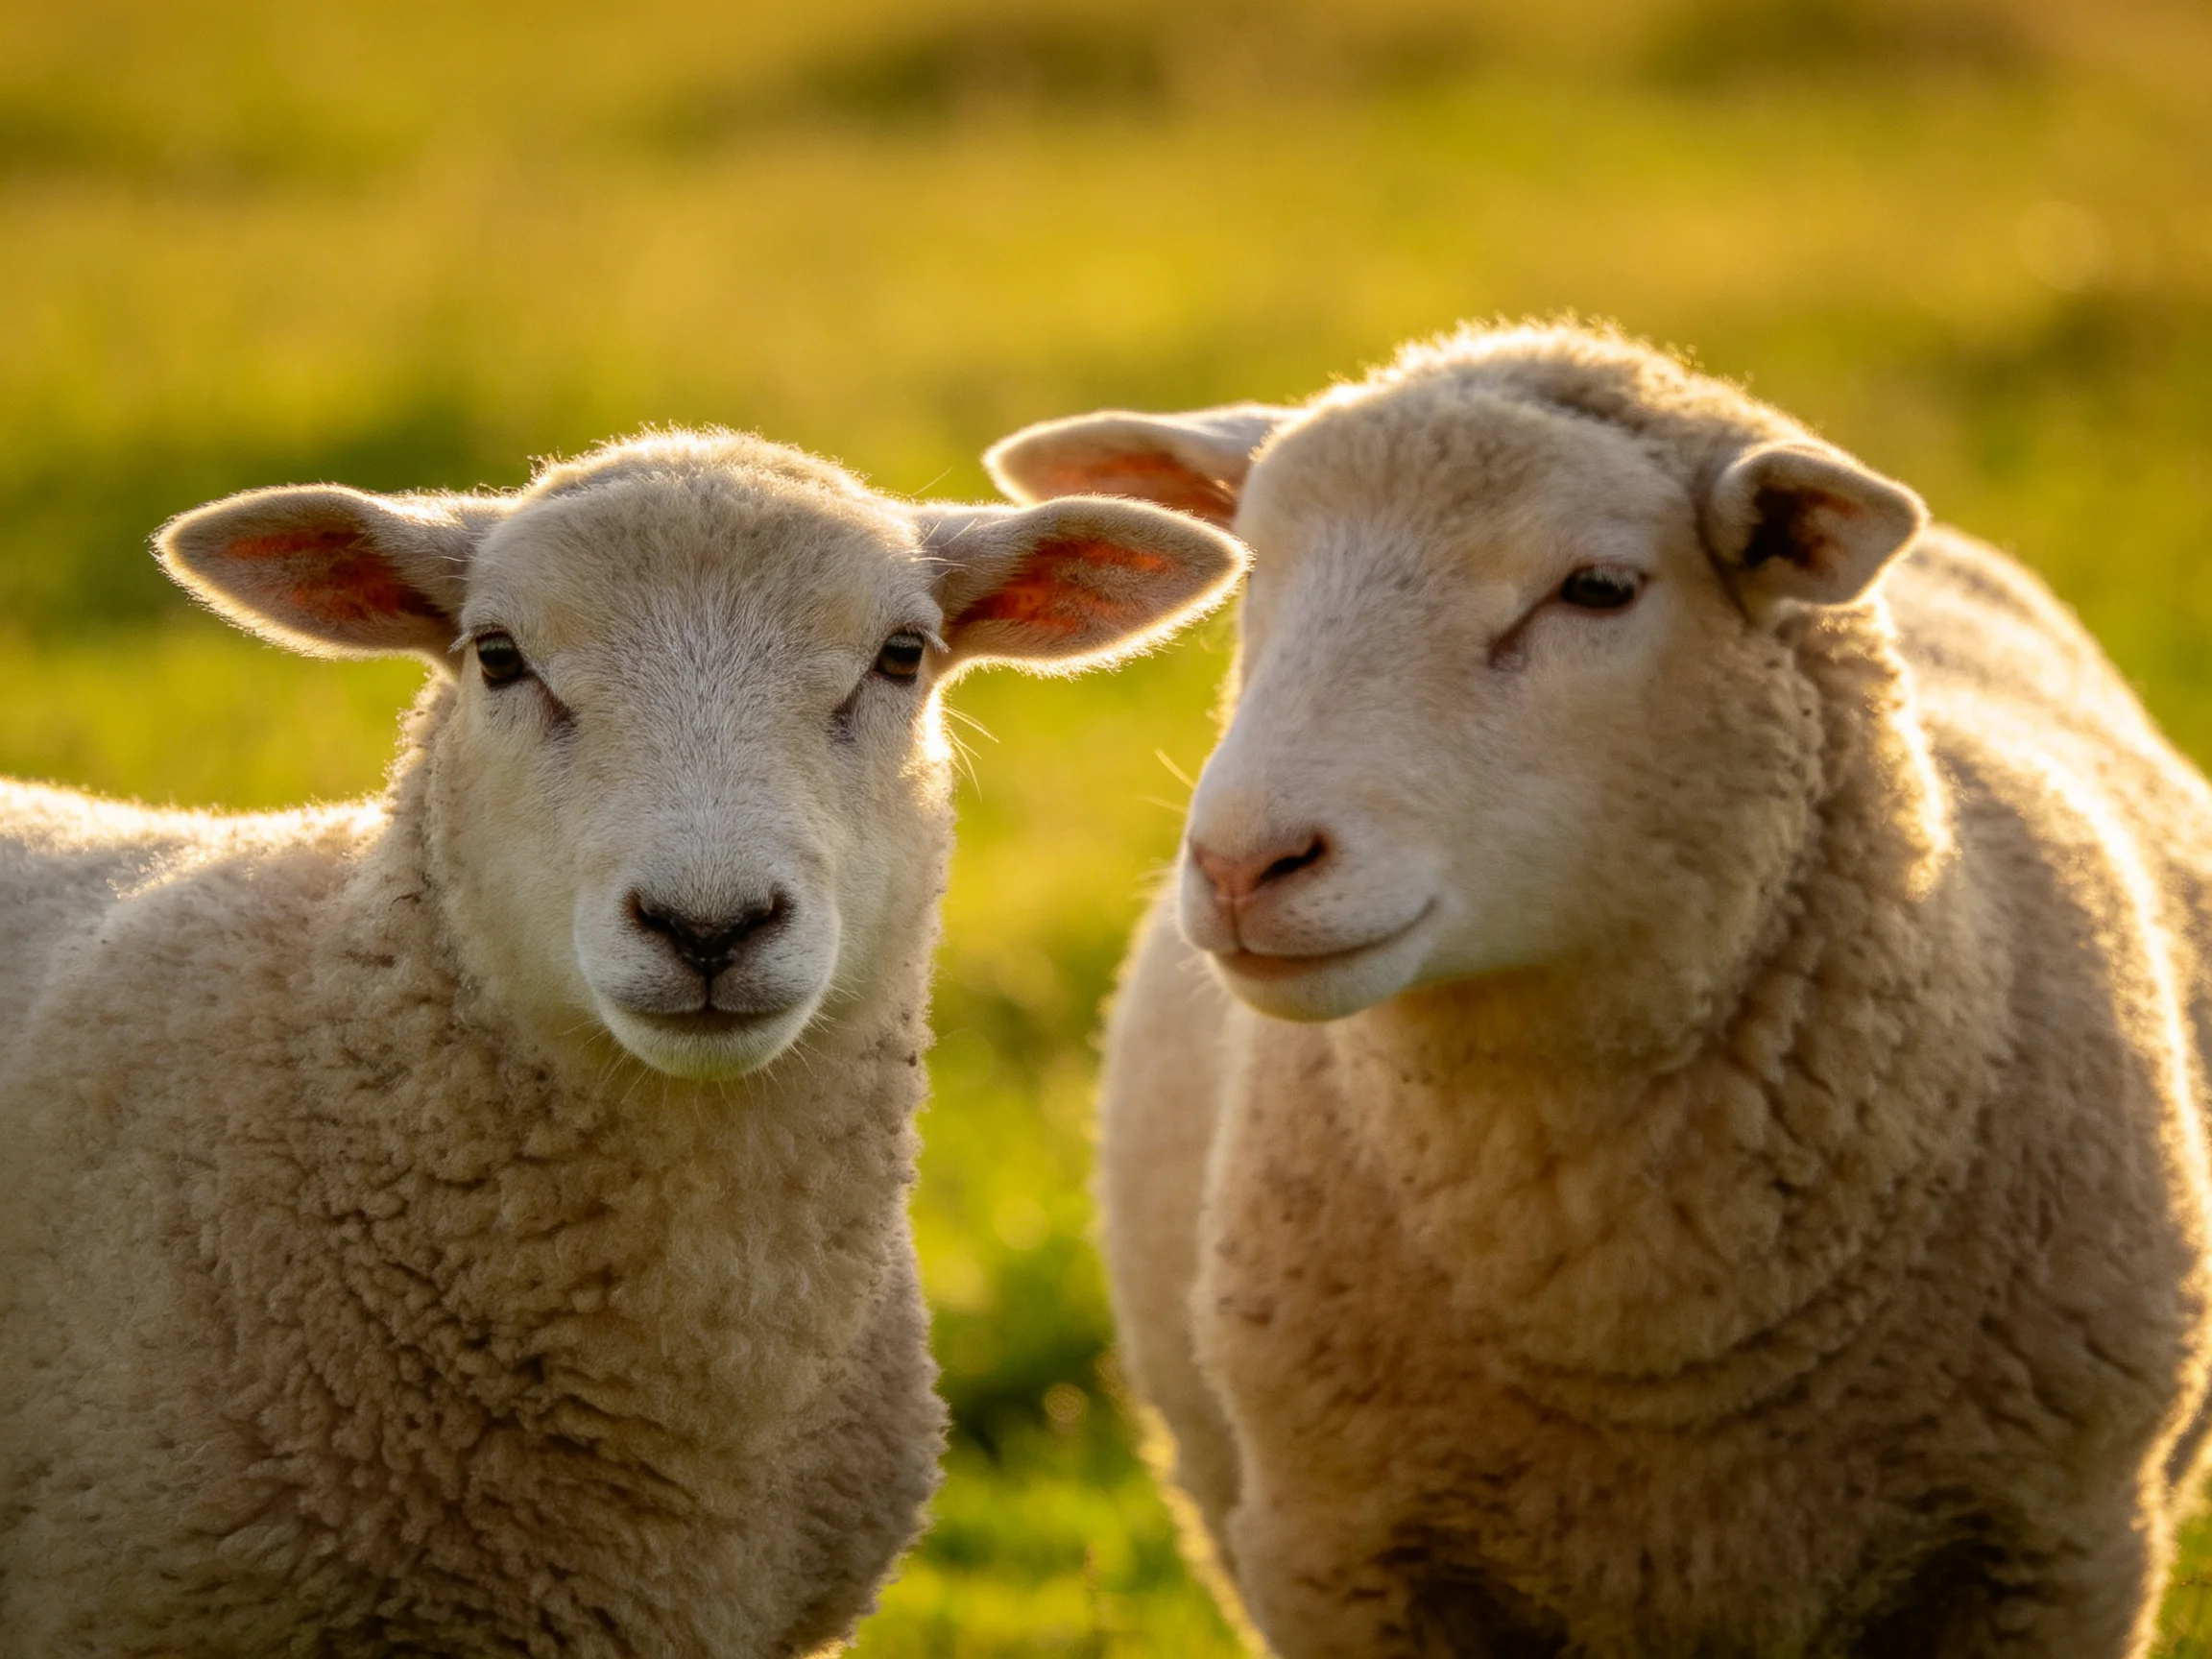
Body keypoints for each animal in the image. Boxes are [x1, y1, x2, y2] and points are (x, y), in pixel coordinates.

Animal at [984, 324, 2212, 1658]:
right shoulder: (1343, 1555)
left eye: (1600, 589)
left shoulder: (2057, 1549)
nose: (1244, 865)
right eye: (1251, 573)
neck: (1642, 1330)